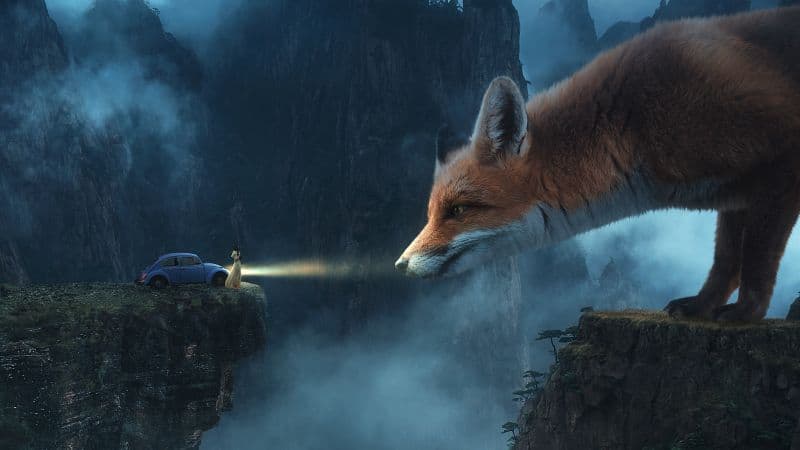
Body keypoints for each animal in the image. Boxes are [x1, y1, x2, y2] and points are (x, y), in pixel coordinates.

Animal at [394, 6, 800, 323]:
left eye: (458, 210)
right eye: (431, 214)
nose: (400, 265)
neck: (634, 124)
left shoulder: (779, 161)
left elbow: (756, 258)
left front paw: (747, 313)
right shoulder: (733, 194)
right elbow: (726, 261)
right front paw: (703, 305)